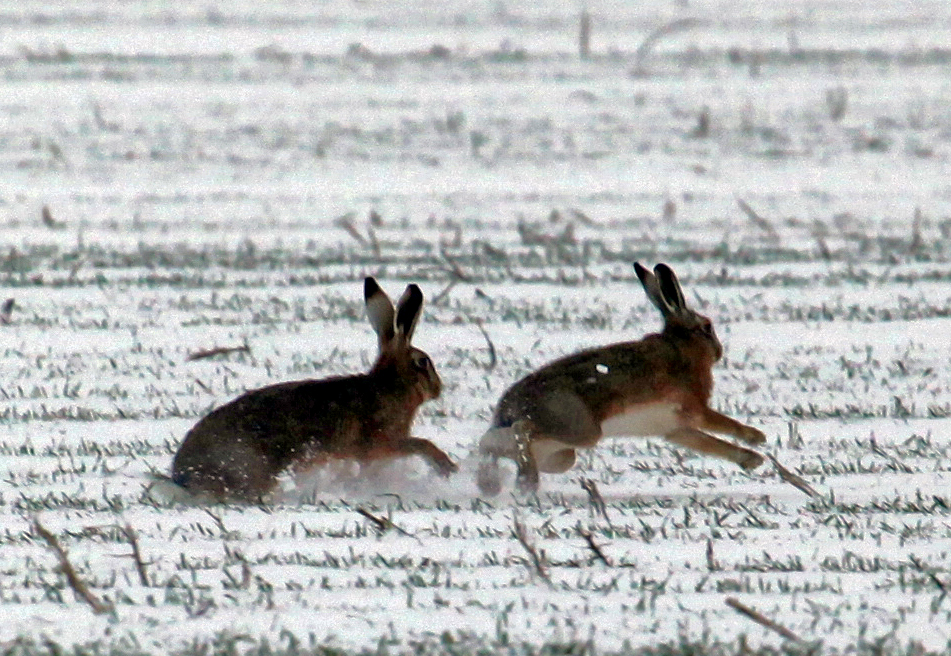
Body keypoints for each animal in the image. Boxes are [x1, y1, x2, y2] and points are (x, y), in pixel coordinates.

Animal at [172, 277, 457, 501]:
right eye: (423, 362)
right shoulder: (383, 441)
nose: (438, 389)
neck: (390, 385)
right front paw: (447, 467)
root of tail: (182, 478)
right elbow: (420, 444)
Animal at [476, 262, 766, 495]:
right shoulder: (694, 409)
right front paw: (757, 439)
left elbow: (709, 443)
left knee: (492, 445)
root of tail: (510, 408)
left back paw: (492, 483)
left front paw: (752, 459)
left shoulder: (676, 429)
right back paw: (524, 482)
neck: (681, 348)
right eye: (707, 327)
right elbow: (723, 424)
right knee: (518, 430)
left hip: (560, 454)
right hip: (579, 428)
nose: (719, 350)